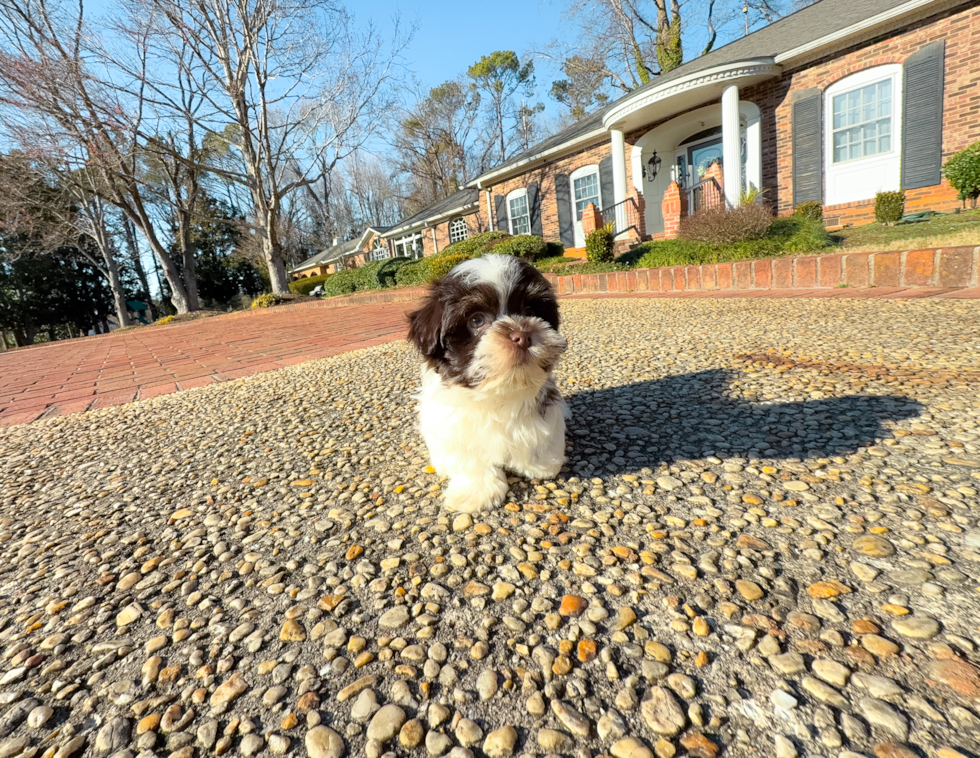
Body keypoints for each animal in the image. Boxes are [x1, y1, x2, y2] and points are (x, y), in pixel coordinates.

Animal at [406, 256, 572, 516]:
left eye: (530, 311)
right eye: (476, 320)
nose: (522, 335)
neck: (498, 391)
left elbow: (540, 435)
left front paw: (541, 464)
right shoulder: (451, 427)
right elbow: (469, 459)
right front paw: (477, 493)